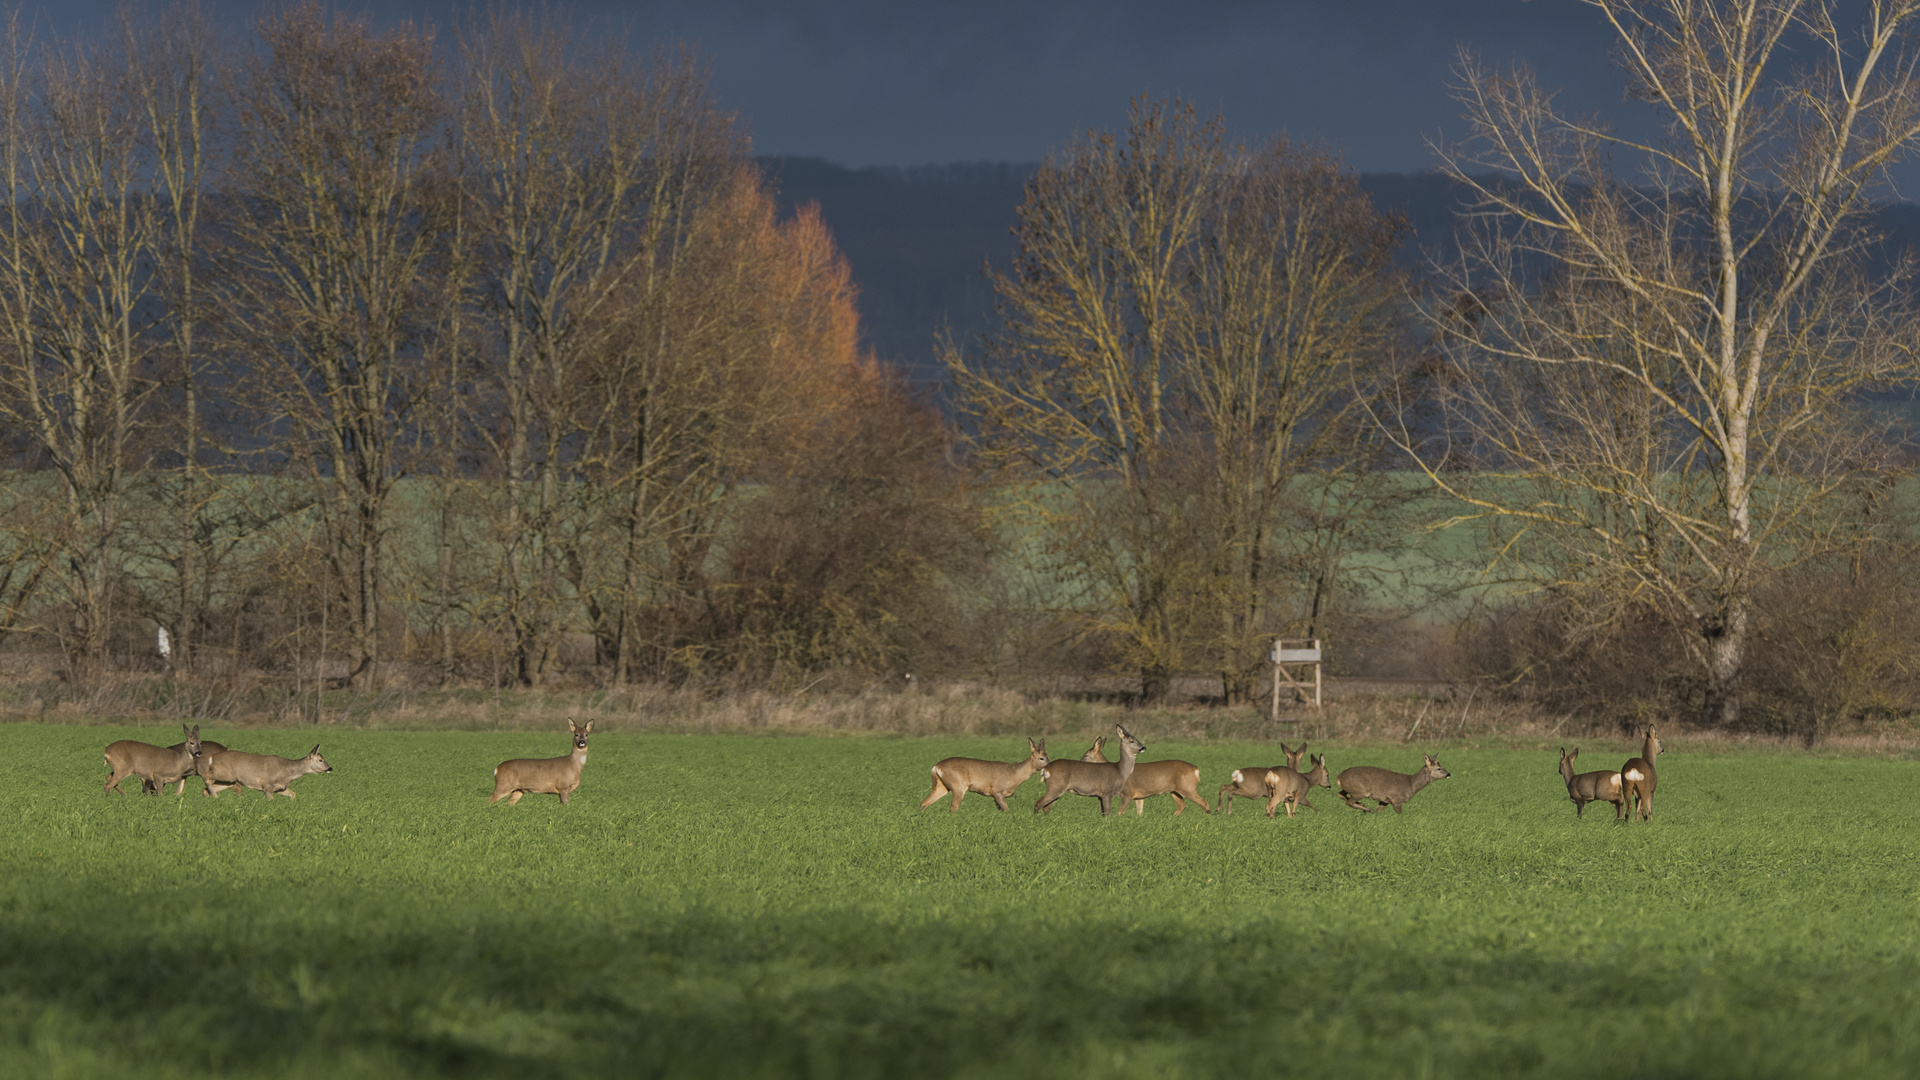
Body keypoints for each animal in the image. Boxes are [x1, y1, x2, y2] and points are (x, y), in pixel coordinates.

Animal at [200, 745, 332, 795]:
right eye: (320, 760)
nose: (330, 768)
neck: (288, 773)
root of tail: (212, 757)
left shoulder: (280, 788)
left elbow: (293, 794)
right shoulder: (267, 784)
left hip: (228, 780)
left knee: (206, 788)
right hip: (224, 774)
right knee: (205, 776)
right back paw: (215, 796)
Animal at [917, 734, 1052, 810]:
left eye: (1048, 756)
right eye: (1041, 758)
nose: (1050, 765)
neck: (1015, 774)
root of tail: (936, 766)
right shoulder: (997, 790)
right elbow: (1007, 810)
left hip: (942, 786)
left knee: (924, 803)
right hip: (958, 786)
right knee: (953, 808)